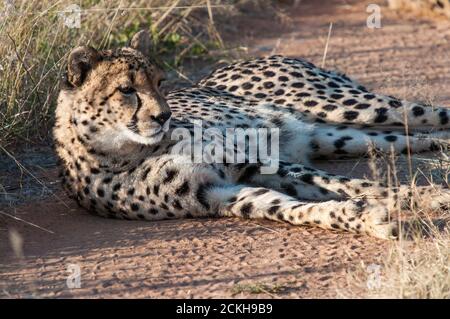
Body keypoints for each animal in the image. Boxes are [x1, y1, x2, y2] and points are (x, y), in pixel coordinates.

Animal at [53, 30, 450, 240]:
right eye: (126, 90)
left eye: (160, 83)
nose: (164, 116)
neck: (125, 149)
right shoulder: (217, 193)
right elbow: (288, 208)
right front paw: (363, 218)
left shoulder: (254, 162)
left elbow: (355, 184)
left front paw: (429, 197)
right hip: (334, 135)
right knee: (413, 138)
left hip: (349, 104)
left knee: (432, 113)